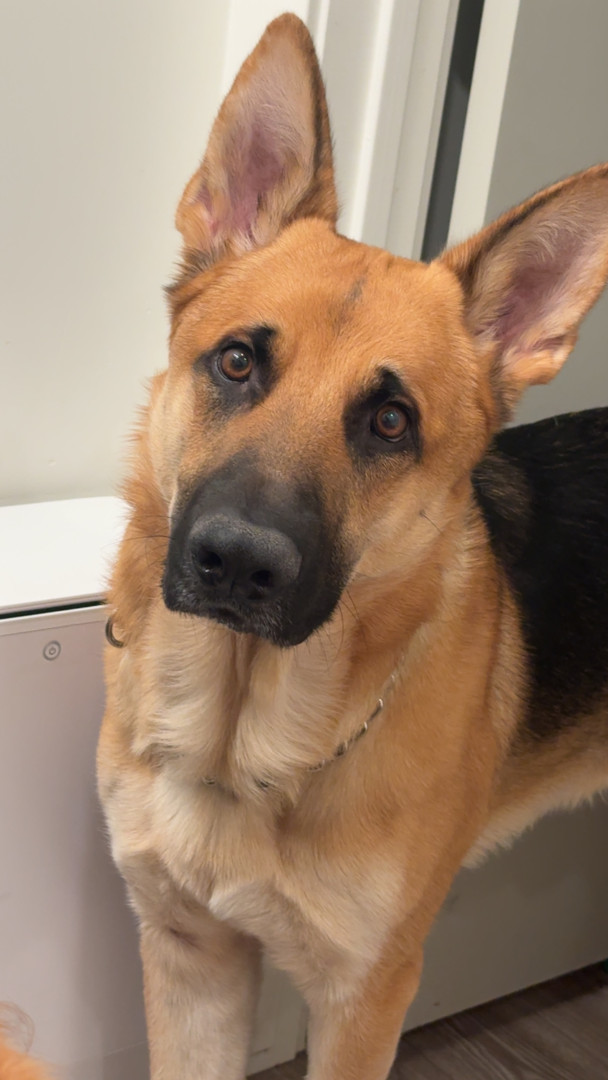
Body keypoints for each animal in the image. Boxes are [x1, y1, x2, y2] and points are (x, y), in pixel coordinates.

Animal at [97, 14, 608, 1079]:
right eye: (237, 362)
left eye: (389, 423)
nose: (238, 564)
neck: (240, 746)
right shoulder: (190, 960)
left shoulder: (364, 1001)